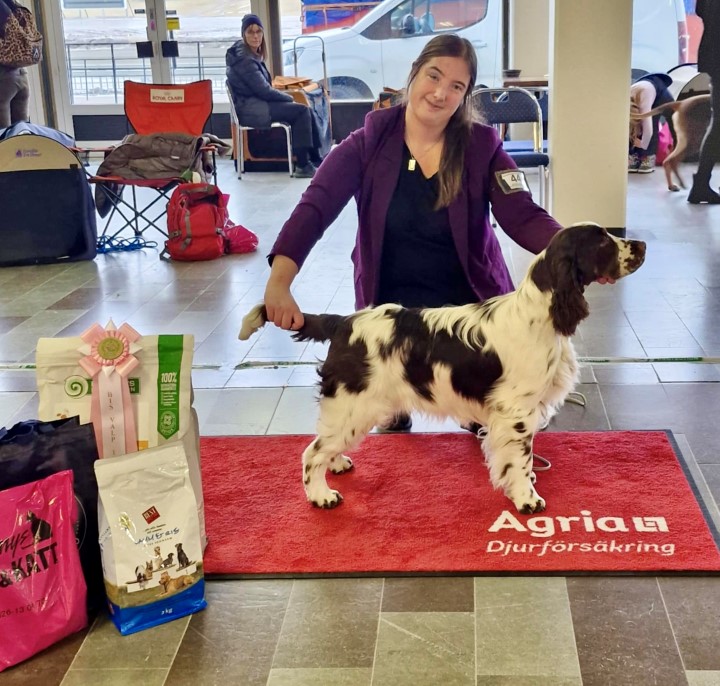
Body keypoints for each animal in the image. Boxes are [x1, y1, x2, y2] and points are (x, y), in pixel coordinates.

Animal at [242, 226, 648, 516]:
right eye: (602, 241)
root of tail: (342, 322)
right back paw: (321, 496)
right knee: (312, 453)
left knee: (326, 444)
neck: (542, 314)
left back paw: (338, 464)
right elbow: (519, 458)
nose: (642, 245)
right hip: (353, 403)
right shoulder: (515, 412)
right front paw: (527, 498)